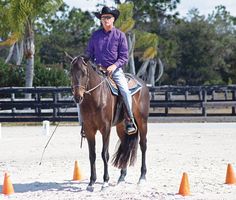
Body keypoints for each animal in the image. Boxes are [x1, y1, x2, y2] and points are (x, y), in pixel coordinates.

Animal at [70, 55, 149, 191]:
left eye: (84, 73)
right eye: (71, 73)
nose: (77, 97)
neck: (96, 98)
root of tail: (142, 84)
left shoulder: (105, 129)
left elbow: (104, 154)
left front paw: (105, 182)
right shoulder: (89, 130)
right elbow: (92, 155)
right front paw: (91, 182)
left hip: (142, 122)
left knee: (143, 146)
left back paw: (142, 177)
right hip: (121, 127)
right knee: (125, 146)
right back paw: (121, 177)